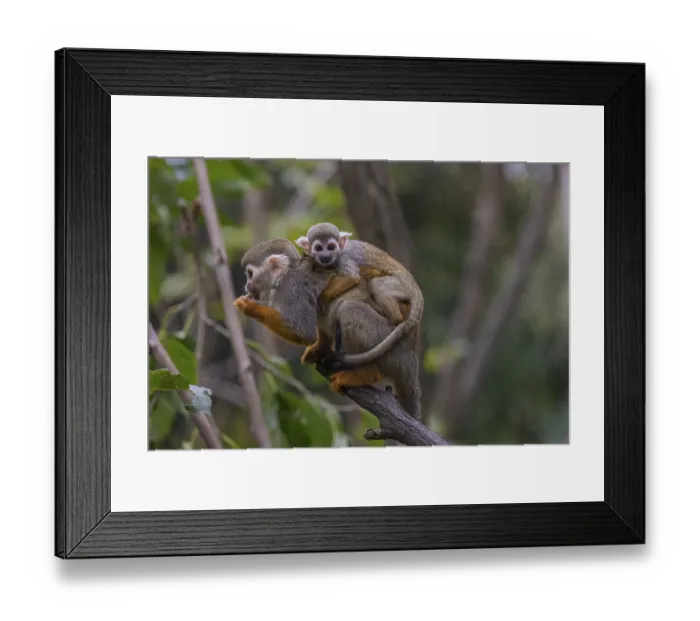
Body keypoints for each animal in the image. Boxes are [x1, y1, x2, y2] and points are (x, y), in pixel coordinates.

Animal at [295, 222, 424, 367]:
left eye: (331, 247)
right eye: (318, 248)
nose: (325, 255)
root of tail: (416, 287)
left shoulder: (343, 259)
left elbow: (352, 278)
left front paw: (323, 297)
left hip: (402, 285)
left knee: (377, 285)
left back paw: (394, 319)